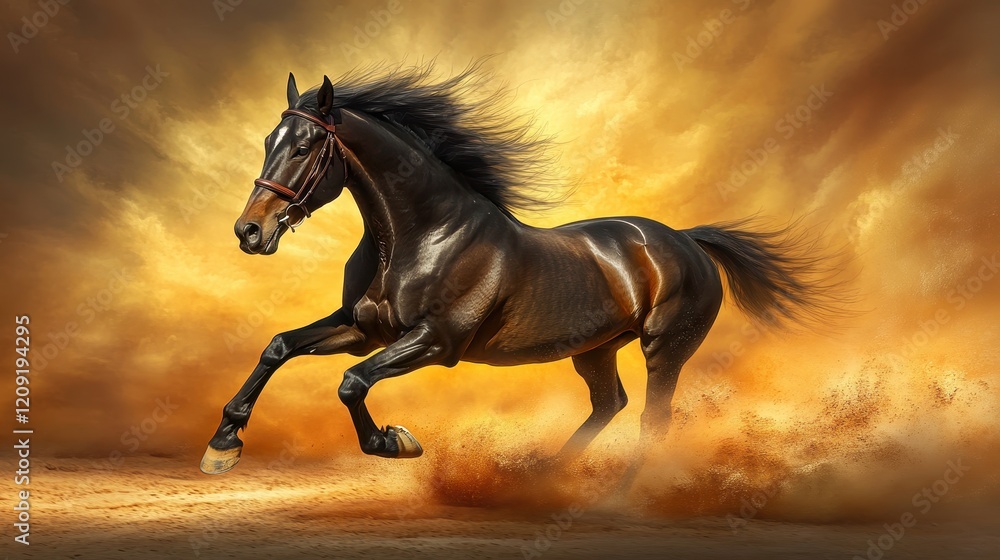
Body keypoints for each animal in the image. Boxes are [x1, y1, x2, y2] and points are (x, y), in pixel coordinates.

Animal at [200, 63, 847, 475]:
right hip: (595, 349)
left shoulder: (436, 341)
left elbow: (351, 383)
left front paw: (395, 442)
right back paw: (539, 478)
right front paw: (223, 444)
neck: (415, 237)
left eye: (304, 146)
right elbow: (279, 346)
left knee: (653, 421)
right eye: (268, 140)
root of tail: (685, 240)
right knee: (609, 405)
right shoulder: (364, 328)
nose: (249, 232)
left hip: (664, 348)